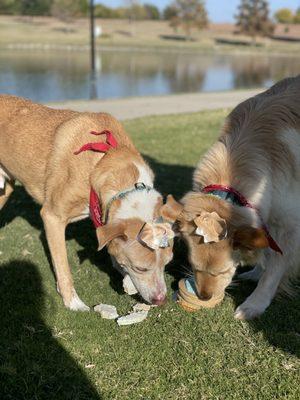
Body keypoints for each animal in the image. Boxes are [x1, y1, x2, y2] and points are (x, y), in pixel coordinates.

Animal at [0, 95, 175, 310]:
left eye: (166, 264)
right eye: (141, 268)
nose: (161, 300)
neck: (102, 162)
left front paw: (126, 280)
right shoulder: (52, 217)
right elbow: (63, 267)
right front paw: (72, 302)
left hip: (4, 189)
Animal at [163, 76, 300, 320]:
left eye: (223, 271)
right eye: (194, 266)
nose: (204, 297)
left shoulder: (289, 225)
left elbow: (274, 269)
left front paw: (255, 303)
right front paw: (255, 272)